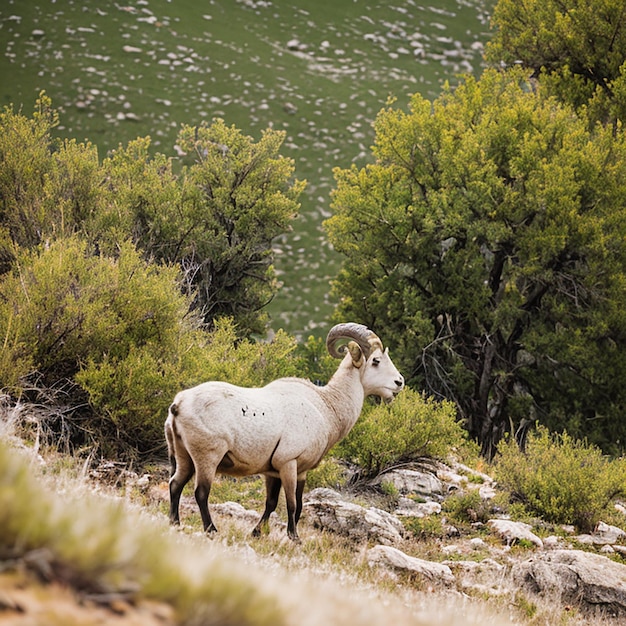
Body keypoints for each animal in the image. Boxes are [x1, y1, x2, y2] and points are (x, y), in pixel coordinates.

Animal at [163, 320, 402, 540]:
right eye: (376, 361)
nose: (399, 382)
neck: (326, 406)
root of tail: (178, 405)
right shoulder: (288, 464)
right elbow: (292, 504)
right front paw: (294, 537)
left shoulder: (285, 472)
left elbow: (275, 503)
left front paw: (257, 532)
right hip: (207, 457)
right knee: (201, 492)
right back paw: (211, 529)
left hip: (184, 456)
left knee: (175, 484)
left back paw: (175, 523)